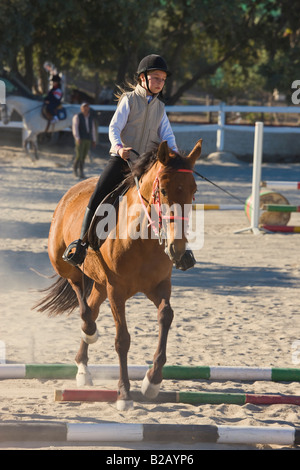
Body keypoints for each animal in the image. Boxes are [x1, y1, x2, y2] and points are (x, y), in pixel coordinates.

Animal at [34, 140, 203, 412]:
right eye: (163, 190)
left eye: (193, 191)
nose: (177, 249)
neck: (142, 239)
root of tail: (71, 193)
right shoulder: (117, 291)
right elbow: (122, 340)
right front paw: (124, 394)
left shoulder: (159, 286)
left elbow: (166, 316)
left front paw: (152, 381)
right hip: (68, 266)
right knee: (81, 298)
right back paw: (89, 332)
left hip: (101, 285)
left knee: (91, 307)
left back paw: (83, 368)